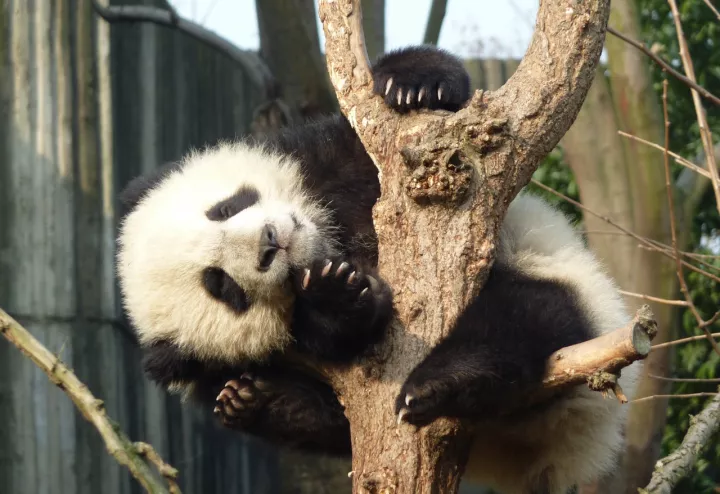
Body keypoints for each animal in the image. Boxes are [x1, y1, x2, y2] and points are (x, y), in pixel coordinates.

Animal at [118, 46, 640, 494]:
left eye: (225, 208)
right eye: (224, 287)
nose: (270, 241)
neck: (331, 242)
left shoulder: (320, 166)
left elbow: (377, 147)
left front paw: (413, 83)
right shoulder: (220, 367)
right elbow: (341, 346)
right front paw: (335, 299)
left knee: (521, 318)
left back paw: (440, 381)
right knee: (519, 322)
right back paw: (261, 402)